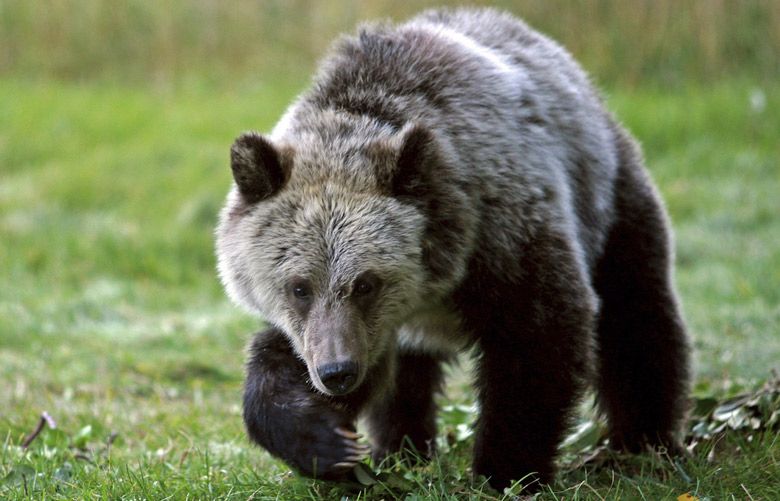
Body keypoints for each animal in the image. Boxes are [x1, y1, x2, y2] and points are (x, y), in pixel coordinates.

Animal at [213, 5, 688, 490]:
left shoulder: (507, 235)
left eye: (366, 283)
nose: (336, 373)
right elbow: (291, 360)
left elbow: (538, 339)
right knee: (407, 379)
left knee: (636, 316)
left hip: (607, 200)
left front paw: (505, 470)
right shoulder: (358, 329)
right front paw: (322, 438)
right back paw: (400, 448)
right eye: (298, 287)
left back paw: (642, 442)